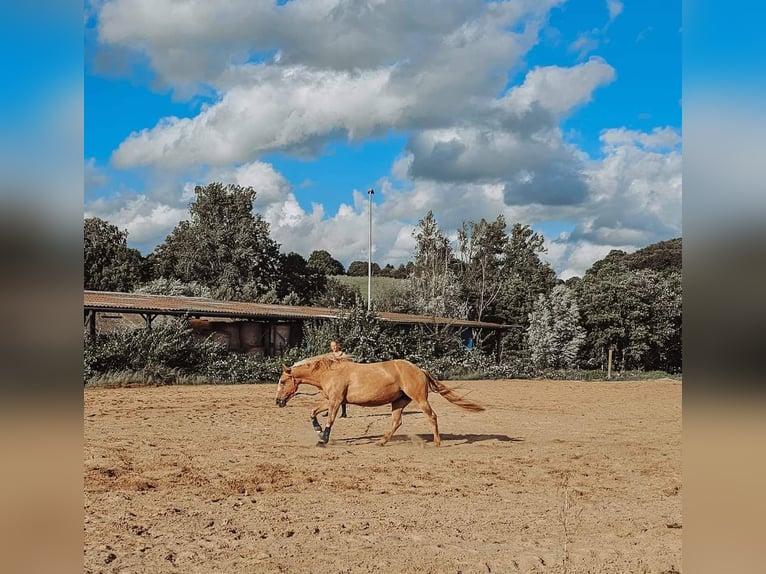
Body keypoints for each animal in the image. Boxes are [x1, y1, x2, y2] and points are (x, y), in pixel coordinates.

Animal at [272, 358, 484, 448]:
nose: (278, 401)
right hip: (398, 402)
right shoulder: (329, 400)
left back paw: (437, 442)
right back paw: (381, 441)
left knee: (432, 416)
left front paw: (323, 439)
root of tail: (419, 369)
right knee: (397, 422)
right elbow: (313, 413)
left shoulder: (335, 401)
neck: (329, 372)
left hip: (419, 399)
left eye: (282, 381)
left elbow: (330, 420)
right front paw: (318, 432)